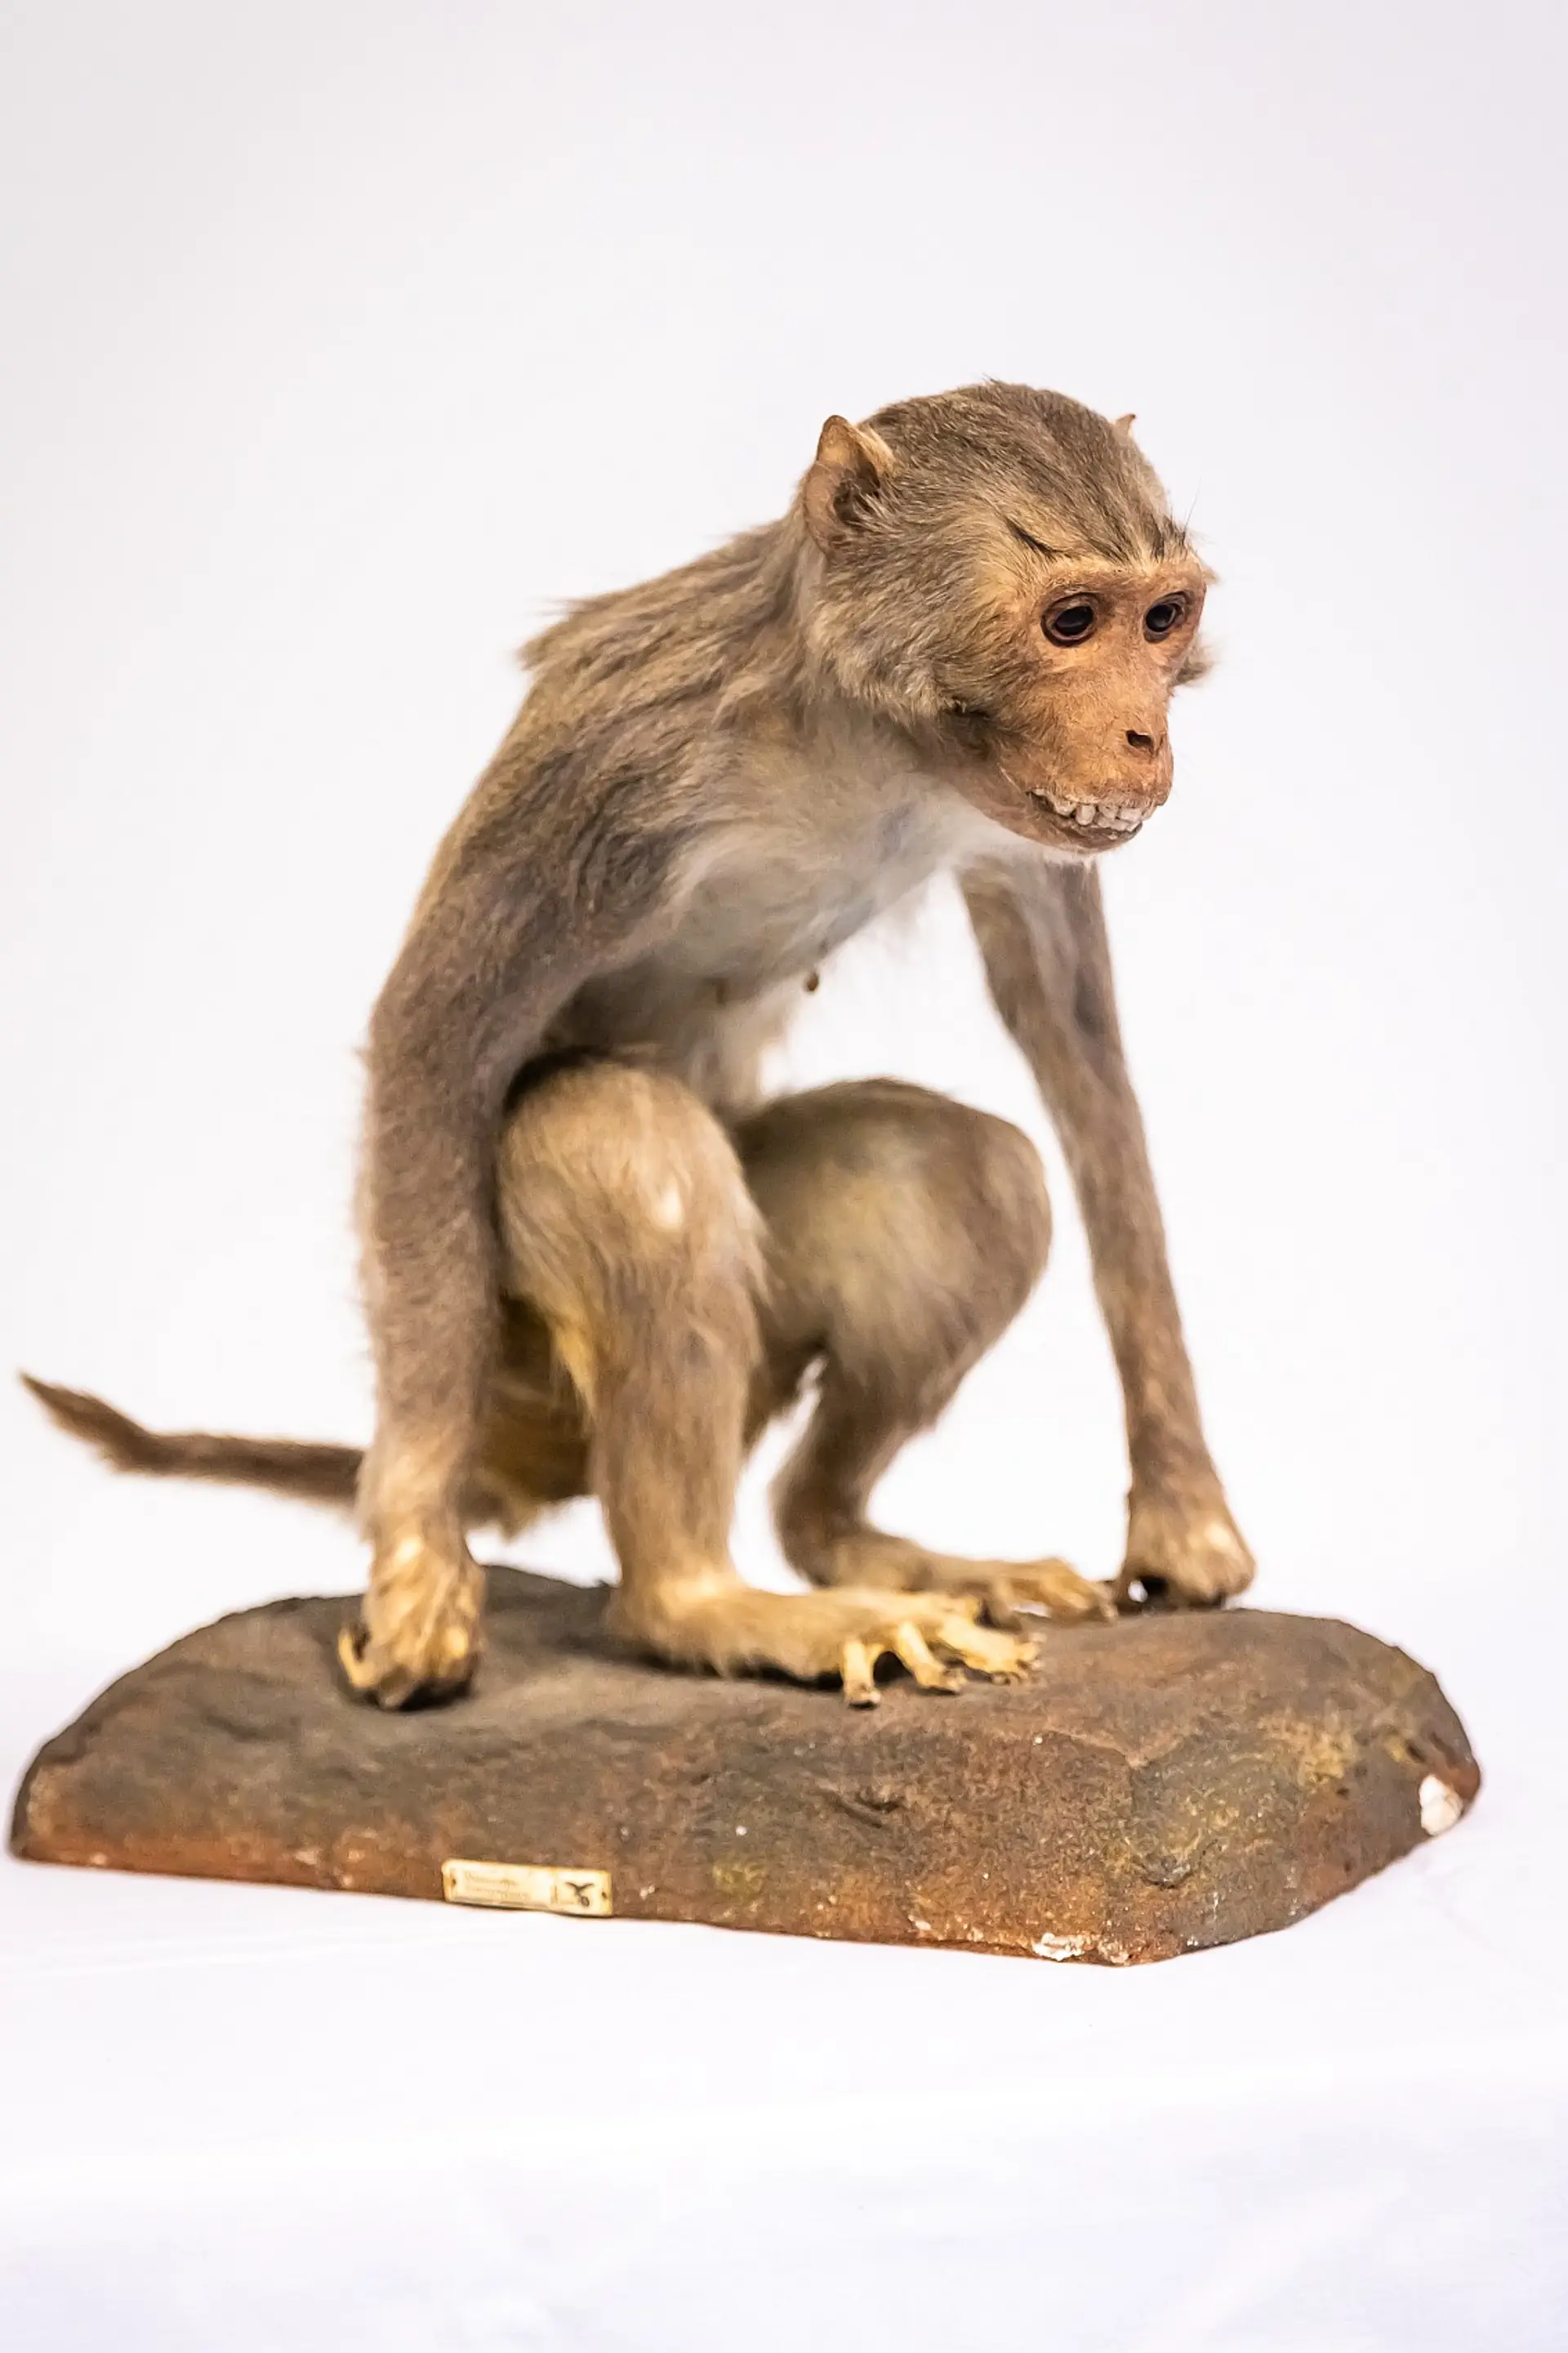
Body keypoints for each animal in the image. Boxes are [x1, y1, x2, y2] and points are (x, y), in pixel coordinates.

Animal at [26, 382, 1256, 1711]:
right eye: (1071, 621)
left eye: (1164, 617)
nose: (1143, 737)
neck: (863, 736)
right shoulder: (618, 763)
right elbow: (434, 1037)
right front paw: (416, 1564)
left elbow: (1072, 1034)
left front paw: (1184, 1509)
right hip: (509, 1352)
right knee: (619, 1138)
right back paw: (704, 1601)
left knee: (971, 1176)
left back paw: (848, 1541)